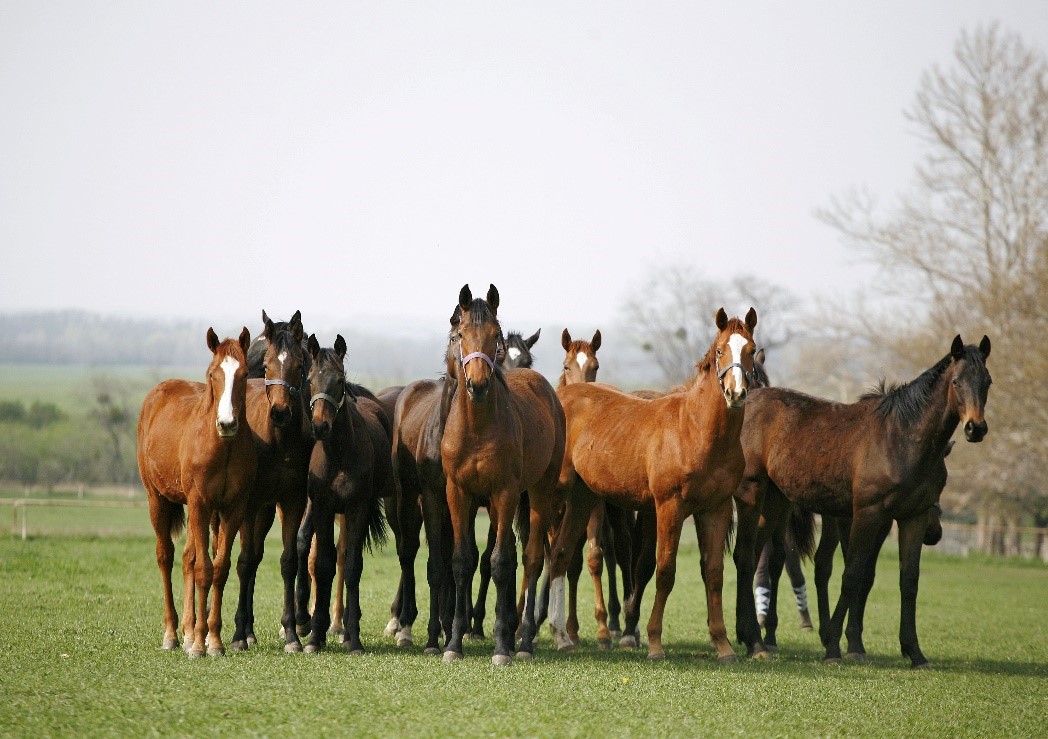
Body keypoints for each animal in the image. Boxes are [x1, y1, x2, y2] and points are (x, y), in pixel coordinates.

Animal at [138, 327, 255, 657]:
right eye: (213, 374)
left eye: (244, 374)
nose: (227, 423)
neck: (221, 447)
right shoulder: (201, 504)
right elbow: (204, 568)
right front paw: (202, 645)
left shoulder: (232, 509)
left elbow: (220, 569)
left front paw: (212, 639)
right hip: (157, 500)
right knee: (166, 557)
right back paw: (173, 634)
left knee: (187, 557)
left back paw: (189, 632)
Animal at [301, 333, 392, 654]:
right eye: (310, 379)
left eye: (339, 380)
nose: (319, 426)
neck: (338, 455)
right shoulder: (323, 508)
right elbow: (323, 565)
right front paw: (315, 636)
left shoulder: (357, 508)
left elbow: (352, 566)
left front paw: (354, 638)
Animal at [441, 284, 566, 665]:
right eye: (459, 335)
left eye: (495, 336)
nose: (479, 384)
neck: (478, 429)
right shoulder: (459, 493)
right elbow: (462, 560)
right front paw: (454, 643)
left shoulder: (505, 492)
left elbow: (498, 561)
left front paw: (500, 646)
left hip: (538, 493)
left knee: (531, 559)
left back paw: (522, 641)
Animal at [547, 307, 758, 661]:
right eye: (719, 351)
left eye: (752, 351)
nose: (736, 393)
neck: (695, 430)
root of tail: (559, 396)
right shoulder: (669, 506)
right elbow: (664, 570)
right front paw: (655, 642)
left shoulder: (715, 509)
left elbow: (714, 573)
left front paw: (723, 644)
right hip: (553, 496)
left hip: (582, 498)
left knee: (560, 555)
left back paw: (563, 636)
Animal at [733, 334, 991, 668]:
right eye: (957, 381)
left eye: (987, 381)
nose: (976, 428)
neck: (902, 437)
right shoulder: (868, 514)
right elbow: (853, 574)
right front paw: (834, 646)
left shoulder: (913, 516)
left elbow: (909, 579)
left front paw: (914, 652)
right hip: (752, 494)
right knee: (745, 556)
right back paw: (755, 640)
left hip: (775, 502)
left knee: (754, 558)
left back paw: (750, 637)